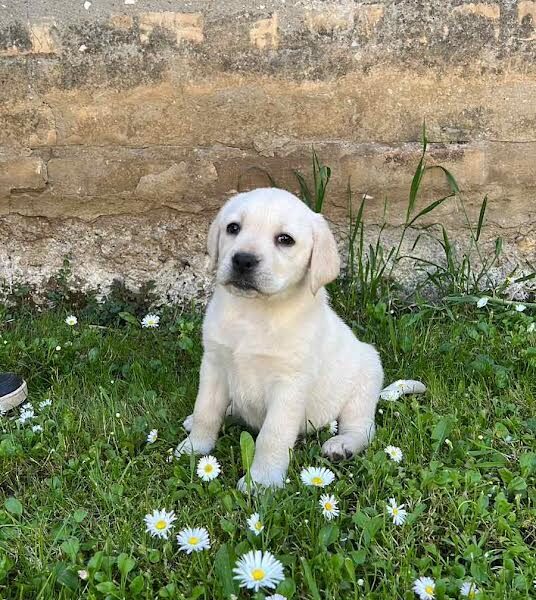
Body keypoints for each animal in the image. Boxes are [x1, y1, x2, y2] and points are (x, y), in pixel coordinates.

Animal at [178, 188, 384, 488]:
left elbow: (272, 436)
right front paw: (195, 447)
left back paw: (342, 445)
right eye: (233, 228)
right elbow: (206, 409)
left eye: (285, 239)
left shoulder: (289, 385)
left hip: (365, 382)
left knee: (363, 428)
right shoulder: (214, 365)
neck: (254, 312)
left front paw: (261, 482)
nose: (243, 260)